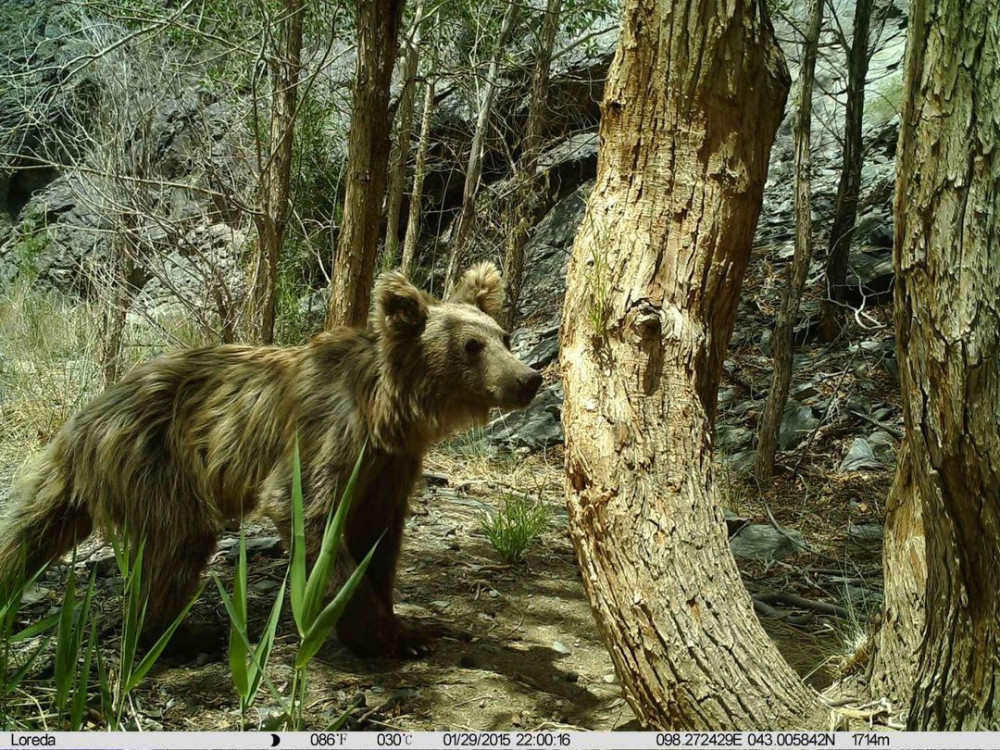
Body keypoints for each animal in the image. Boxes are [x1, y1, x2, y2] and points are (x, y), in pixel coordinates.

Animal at [0, 264, 540, 656]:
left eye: (503, 337)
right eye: (472, 346)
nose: (529, 378)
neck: (387, 412)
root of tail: (80, 422)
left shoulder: (391, 465)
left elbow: (379, 537)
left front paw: (402, 624)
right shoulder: (328, 437)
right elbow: (310, 517)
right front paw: (380, 634)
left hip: (86, 482)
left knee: (31, 531)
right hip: (155, 457)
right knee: (178, 542)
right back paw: (179, 635)